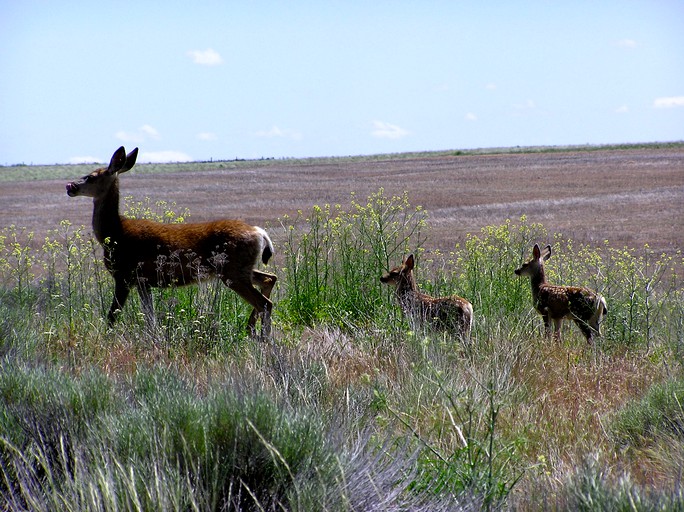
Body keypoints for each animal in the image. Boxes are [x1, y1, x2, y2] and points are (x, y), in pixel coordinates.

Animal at [66, 147, 276, 340]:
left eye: (91, 176)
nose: (70, 185)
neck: (114, 233)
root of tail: (259, 232)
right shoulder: (143, 281)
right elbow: (150, 317)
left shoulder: (124, 275)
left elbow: (112, 316)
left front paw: (105, 339)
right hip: (240, 268)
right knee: (269, 279)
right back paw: (251, 330)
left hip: (232, 270)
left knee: (265, 302)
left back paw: (264, 339)